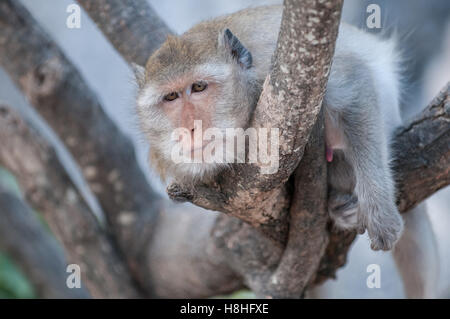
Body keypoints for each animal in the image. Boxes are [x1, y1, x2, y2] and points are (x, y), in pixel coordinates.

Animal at [134, 3, 436, 298]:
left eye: (198, 87)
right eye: (170, 97)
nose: (189, 129)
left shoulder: (279, 69)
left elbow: (355, 83)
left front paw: (380, 213)